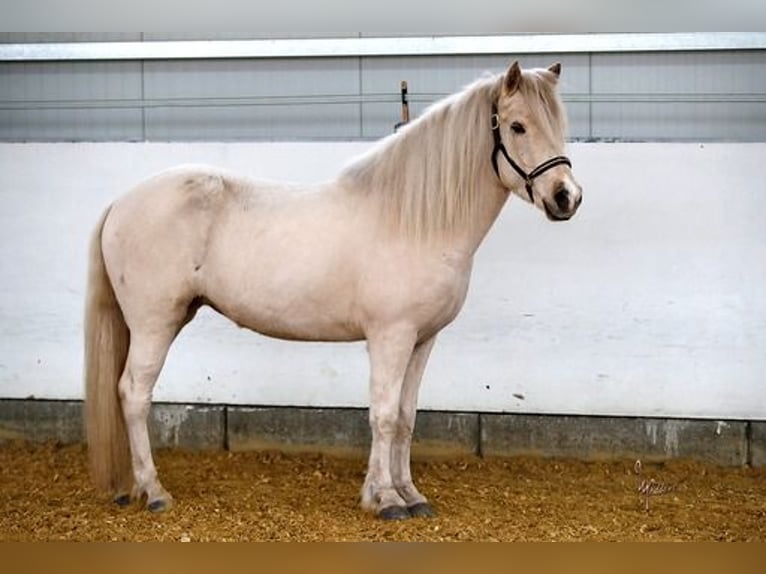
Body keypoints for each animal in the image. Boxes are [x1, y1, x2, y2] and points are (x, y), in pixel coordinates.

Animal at [84, 60, 582, 520]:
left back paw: (135, 487)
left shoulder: (422, 340)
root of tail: (120, 203)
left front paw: (411, 495)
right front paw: (385, 500)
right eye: (517, 126)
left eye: (559, 125)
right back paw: (155, 491)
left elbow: (406, 418)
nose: (567, 197)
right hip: (154, 323)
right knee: (133, 393)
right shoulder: (390, 337)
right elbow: (383, 415)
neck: (415, 222)